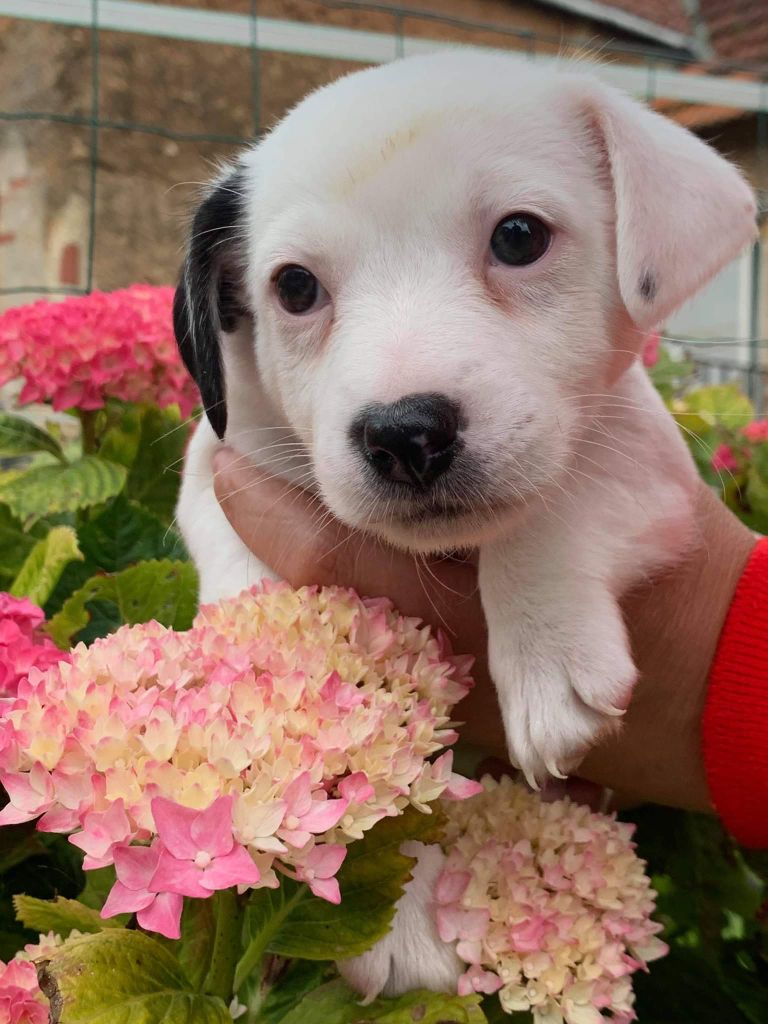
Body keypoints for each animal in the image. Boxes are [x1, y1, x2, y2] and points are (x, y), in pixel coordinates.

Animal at [174, 49, 757, 999]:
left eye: (519, 237)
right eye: (295, 287)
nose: (404, 434)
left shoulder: (648, 458)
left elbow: (558, 498)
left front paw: (548, 660)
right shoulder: (223, 476)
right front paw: (397, 904)